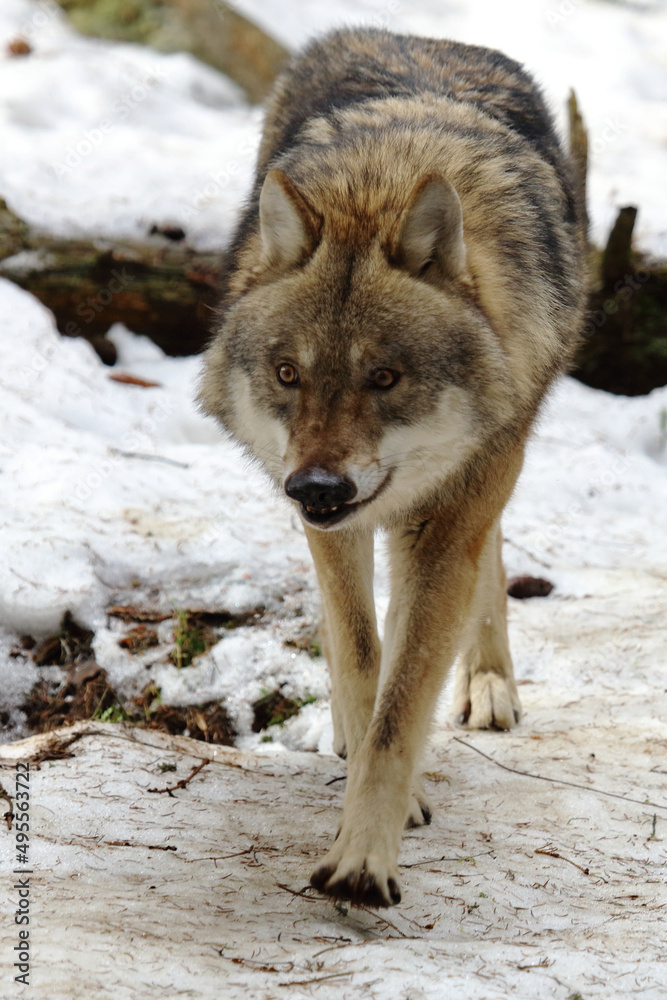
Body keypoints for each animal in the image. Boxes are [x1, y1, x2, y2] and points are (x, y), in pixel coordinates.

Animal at [199, 27, 586, 907]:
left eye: (384, 377)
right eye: (288, 374)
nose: (315, 485)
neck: (376, 186)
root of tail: (420, 36)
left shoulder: (450, 513)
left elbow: (405, 700)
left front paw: (362, 860)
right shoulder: (329, 521)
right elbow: (360, 653)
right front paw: (365, 767)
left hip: (487, 468)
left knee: (489, 563)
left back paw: (488, 684)